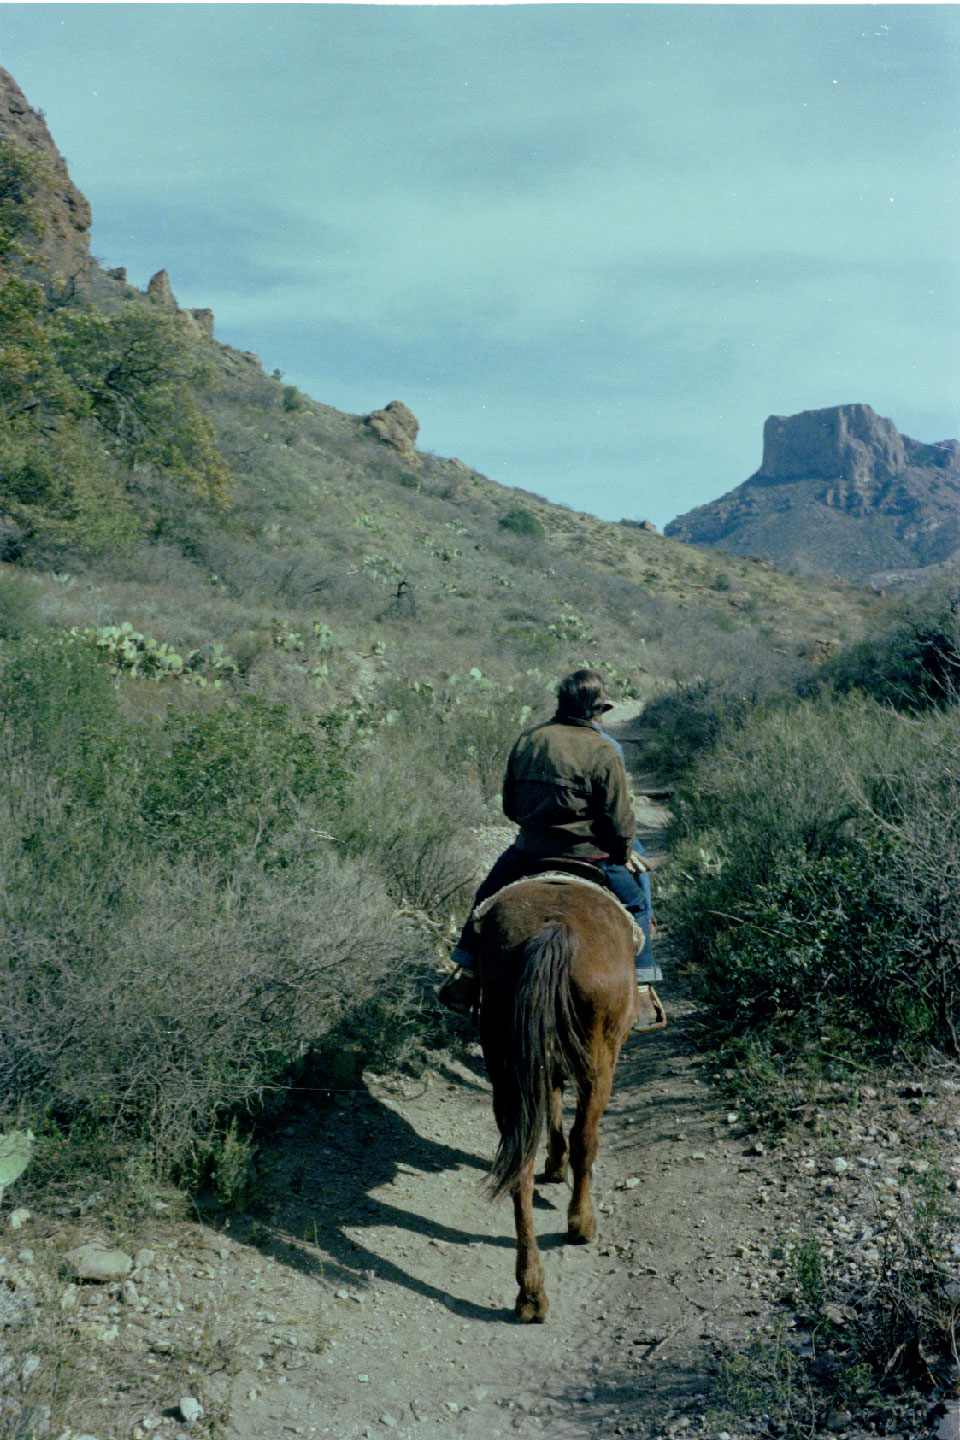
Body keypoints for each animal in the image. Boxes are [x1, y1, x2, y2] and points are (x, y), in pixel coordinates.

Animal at [472, 869, 644, 1319]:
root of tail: (556, 928)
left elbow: (549, 1102)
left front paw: (554, 1161)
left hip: (506, 1064)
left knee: (520, 1169)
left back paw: (531, 1290)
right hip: (599, 1064)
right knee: (587, 1140)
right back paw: (581, 1224)